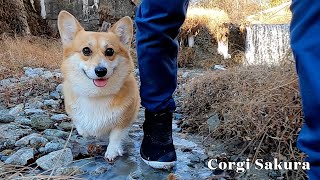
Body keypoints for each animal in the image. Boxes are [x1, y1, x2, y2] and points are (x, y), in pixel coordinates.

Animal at [57, 10, 140, 161]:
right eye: (86, 50)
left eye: (110, 51)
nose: (101, 71)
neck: (96, 95)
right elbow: (81, 127)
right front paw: (87, 132)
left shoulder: (124, 119)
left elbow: (115, 135)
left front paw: (112, 151)